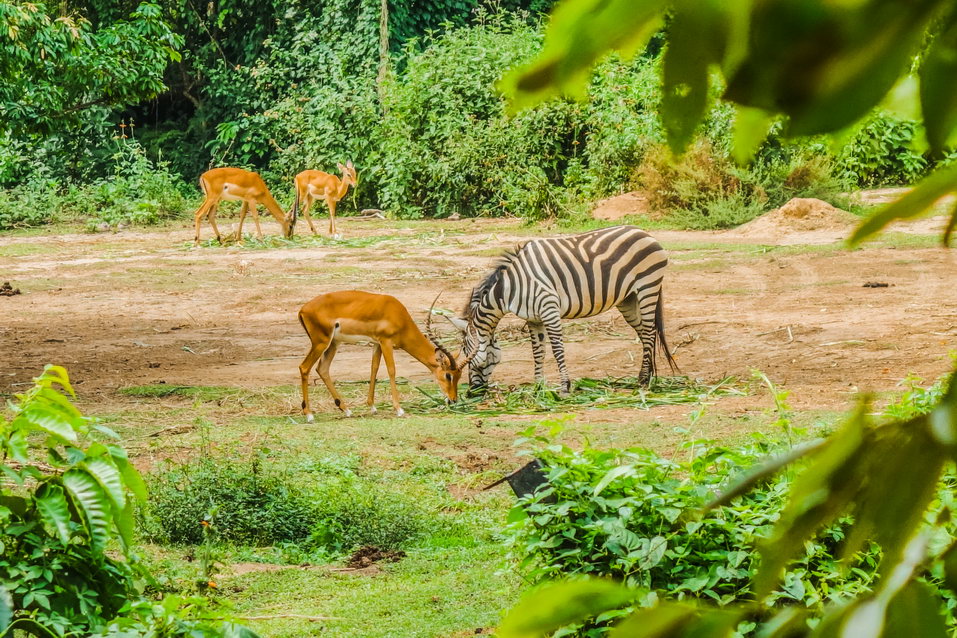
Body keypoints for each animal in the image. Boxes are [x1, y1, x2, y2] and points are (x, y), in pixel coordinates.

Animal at [296, 290, 464, 420]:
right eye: (448, 375)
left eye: (459, 376)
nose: (453, 400)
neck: (397, 314)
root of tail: (302, 310)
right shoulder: (386, 341)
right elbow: (391, 370)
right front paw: (399, 410)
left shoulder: (377, 343)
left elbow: (374, 368)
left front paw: (372, 407)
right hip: (321, 343)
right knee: (304, 367)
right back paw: (309, 414)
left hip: (333, 343)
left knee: (322, 369)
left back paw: (346, 410)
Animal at [446, 225, 676, 396]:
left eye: (467, 353)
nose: (472, 393)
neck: (509, 288)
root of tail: (643, 231)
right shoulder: (534, 318)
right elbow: (538, 352)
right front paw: (538, 386)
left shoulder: (549, 309)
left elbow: (557, 348)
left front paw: (565, 386)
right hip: (628, 299)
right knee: (645, 333)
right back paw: (647, 375)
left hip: (647, 286)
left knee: (649, 332)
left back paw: (644, 380)